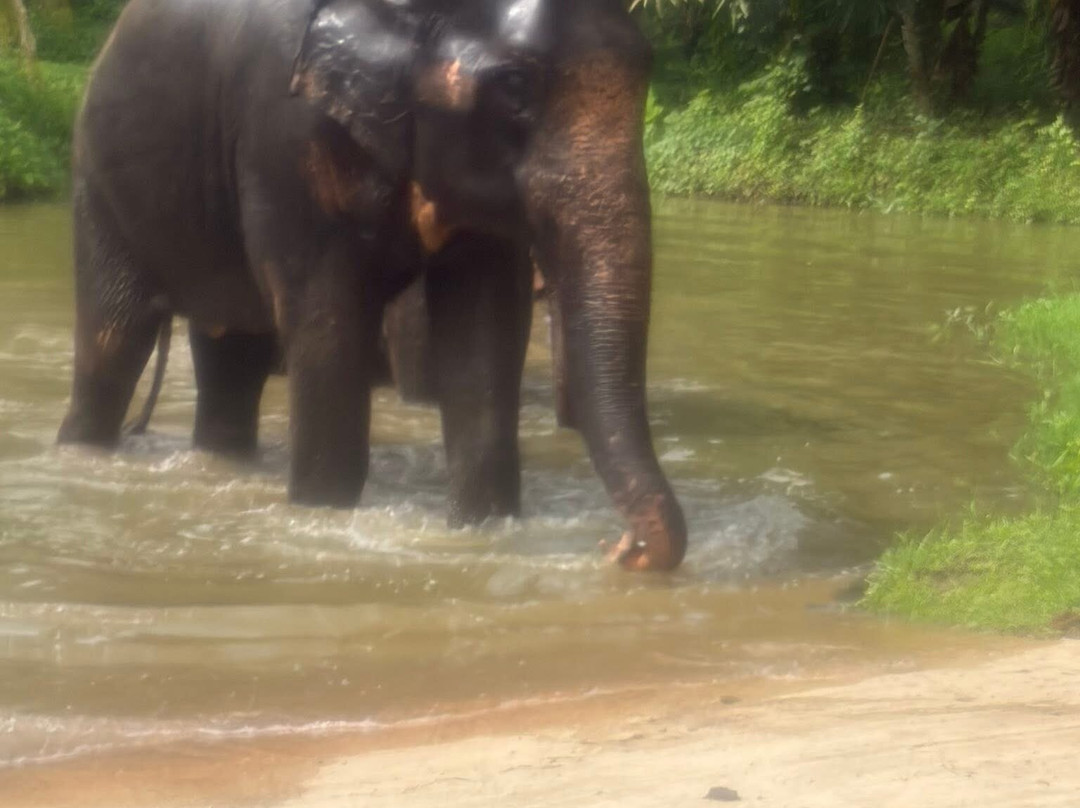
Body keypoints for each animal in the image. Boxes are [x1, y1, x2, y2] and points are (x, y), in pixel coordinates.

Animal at [57, 0, 688, 571]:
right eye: (515, 85)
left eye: (648, 68)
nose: (620, 548)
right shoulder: (284, 139)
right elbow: (326, 322)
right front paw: (322, 519)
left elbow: (485, 327)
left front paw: (481, 532)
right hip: (99, 184)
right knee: (116, 338)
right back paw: (82, 454)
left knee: (232, 354)